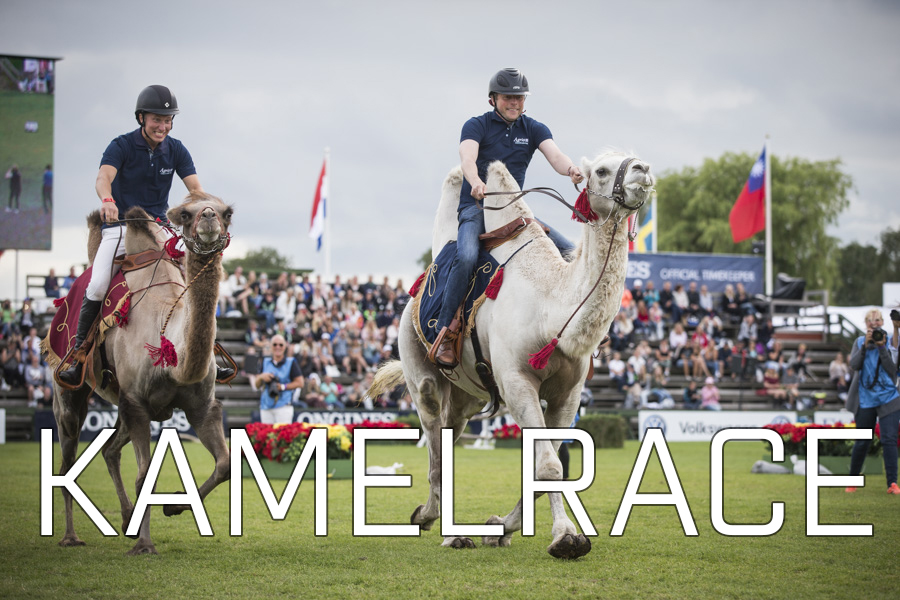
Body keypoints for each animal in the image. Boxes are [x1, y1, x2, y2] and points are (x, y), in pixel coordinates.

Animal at [48, 195, 234, 556]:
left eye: (226, 212)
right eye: (185, 214)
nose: (208, 218)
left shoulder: (201, 406)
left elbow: (225, 464)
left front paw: (175, 506)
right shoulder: (136, 401)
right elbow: (145, 475)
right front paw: (145, 546)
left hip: (120, 401)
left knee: (109, 450)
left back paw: (126, 521)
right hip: (68, 391)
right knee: (67, 463)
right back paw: (71, 537)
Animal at [368, 150, 652, 556]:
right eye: (601, 169)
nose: (642, 169)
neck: (551, 309)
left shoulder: (569, 394)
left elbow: (548, 466)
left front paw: (498, 527)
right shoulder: (517, 381)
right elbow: (549, 466)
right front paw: (565, 538)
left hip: (468, 397)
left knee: (451, 433)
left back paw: (436, 520)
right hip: (418, 368)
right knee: (434, 436)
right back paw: (441, 527)